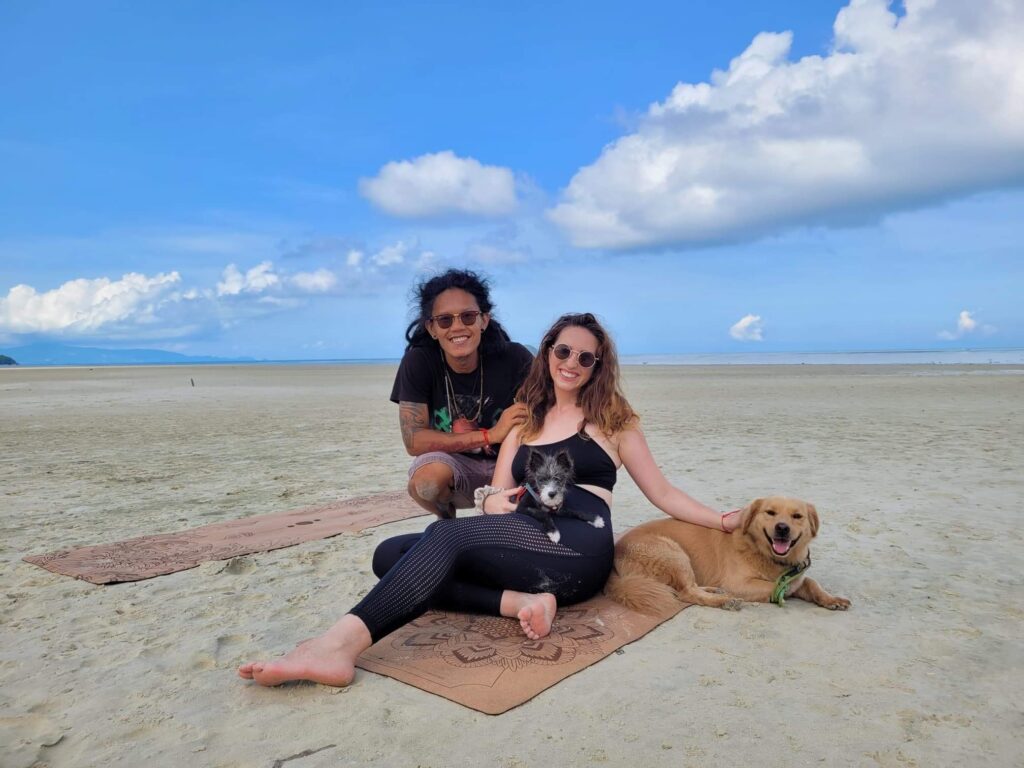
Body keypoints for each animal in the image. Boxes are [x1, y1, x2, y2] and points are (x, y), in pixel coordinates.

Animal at [602, 495, 851, 618]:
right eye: (770, 512)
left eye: (797, 516)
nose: (782, 528)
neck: (763, 552)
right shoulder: (739, 583)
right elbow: (783, 586)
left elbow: (811, 583)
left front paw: (832, 599)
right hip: (674, 554)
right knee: (687, 593)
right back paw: (724, 600)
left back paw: (716, 591)